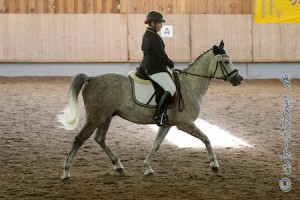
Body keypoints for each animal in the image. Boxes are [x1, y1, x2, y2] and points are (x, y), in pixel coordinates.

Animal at [57, 41, 243, 180]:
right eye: (226, 62)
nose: (239, 79)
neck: (190, 84)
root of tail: (92, 79)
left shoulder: (167, 124)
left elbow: (156, 144)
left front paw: (147, 168)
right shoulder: (185, 123)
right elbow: (207, 139)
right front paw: (214, 165)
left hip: (106, 116)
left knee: (100, 139)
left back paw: (119, 166)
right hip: (96, 117)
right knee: (79, 139)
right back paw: (66, 172)